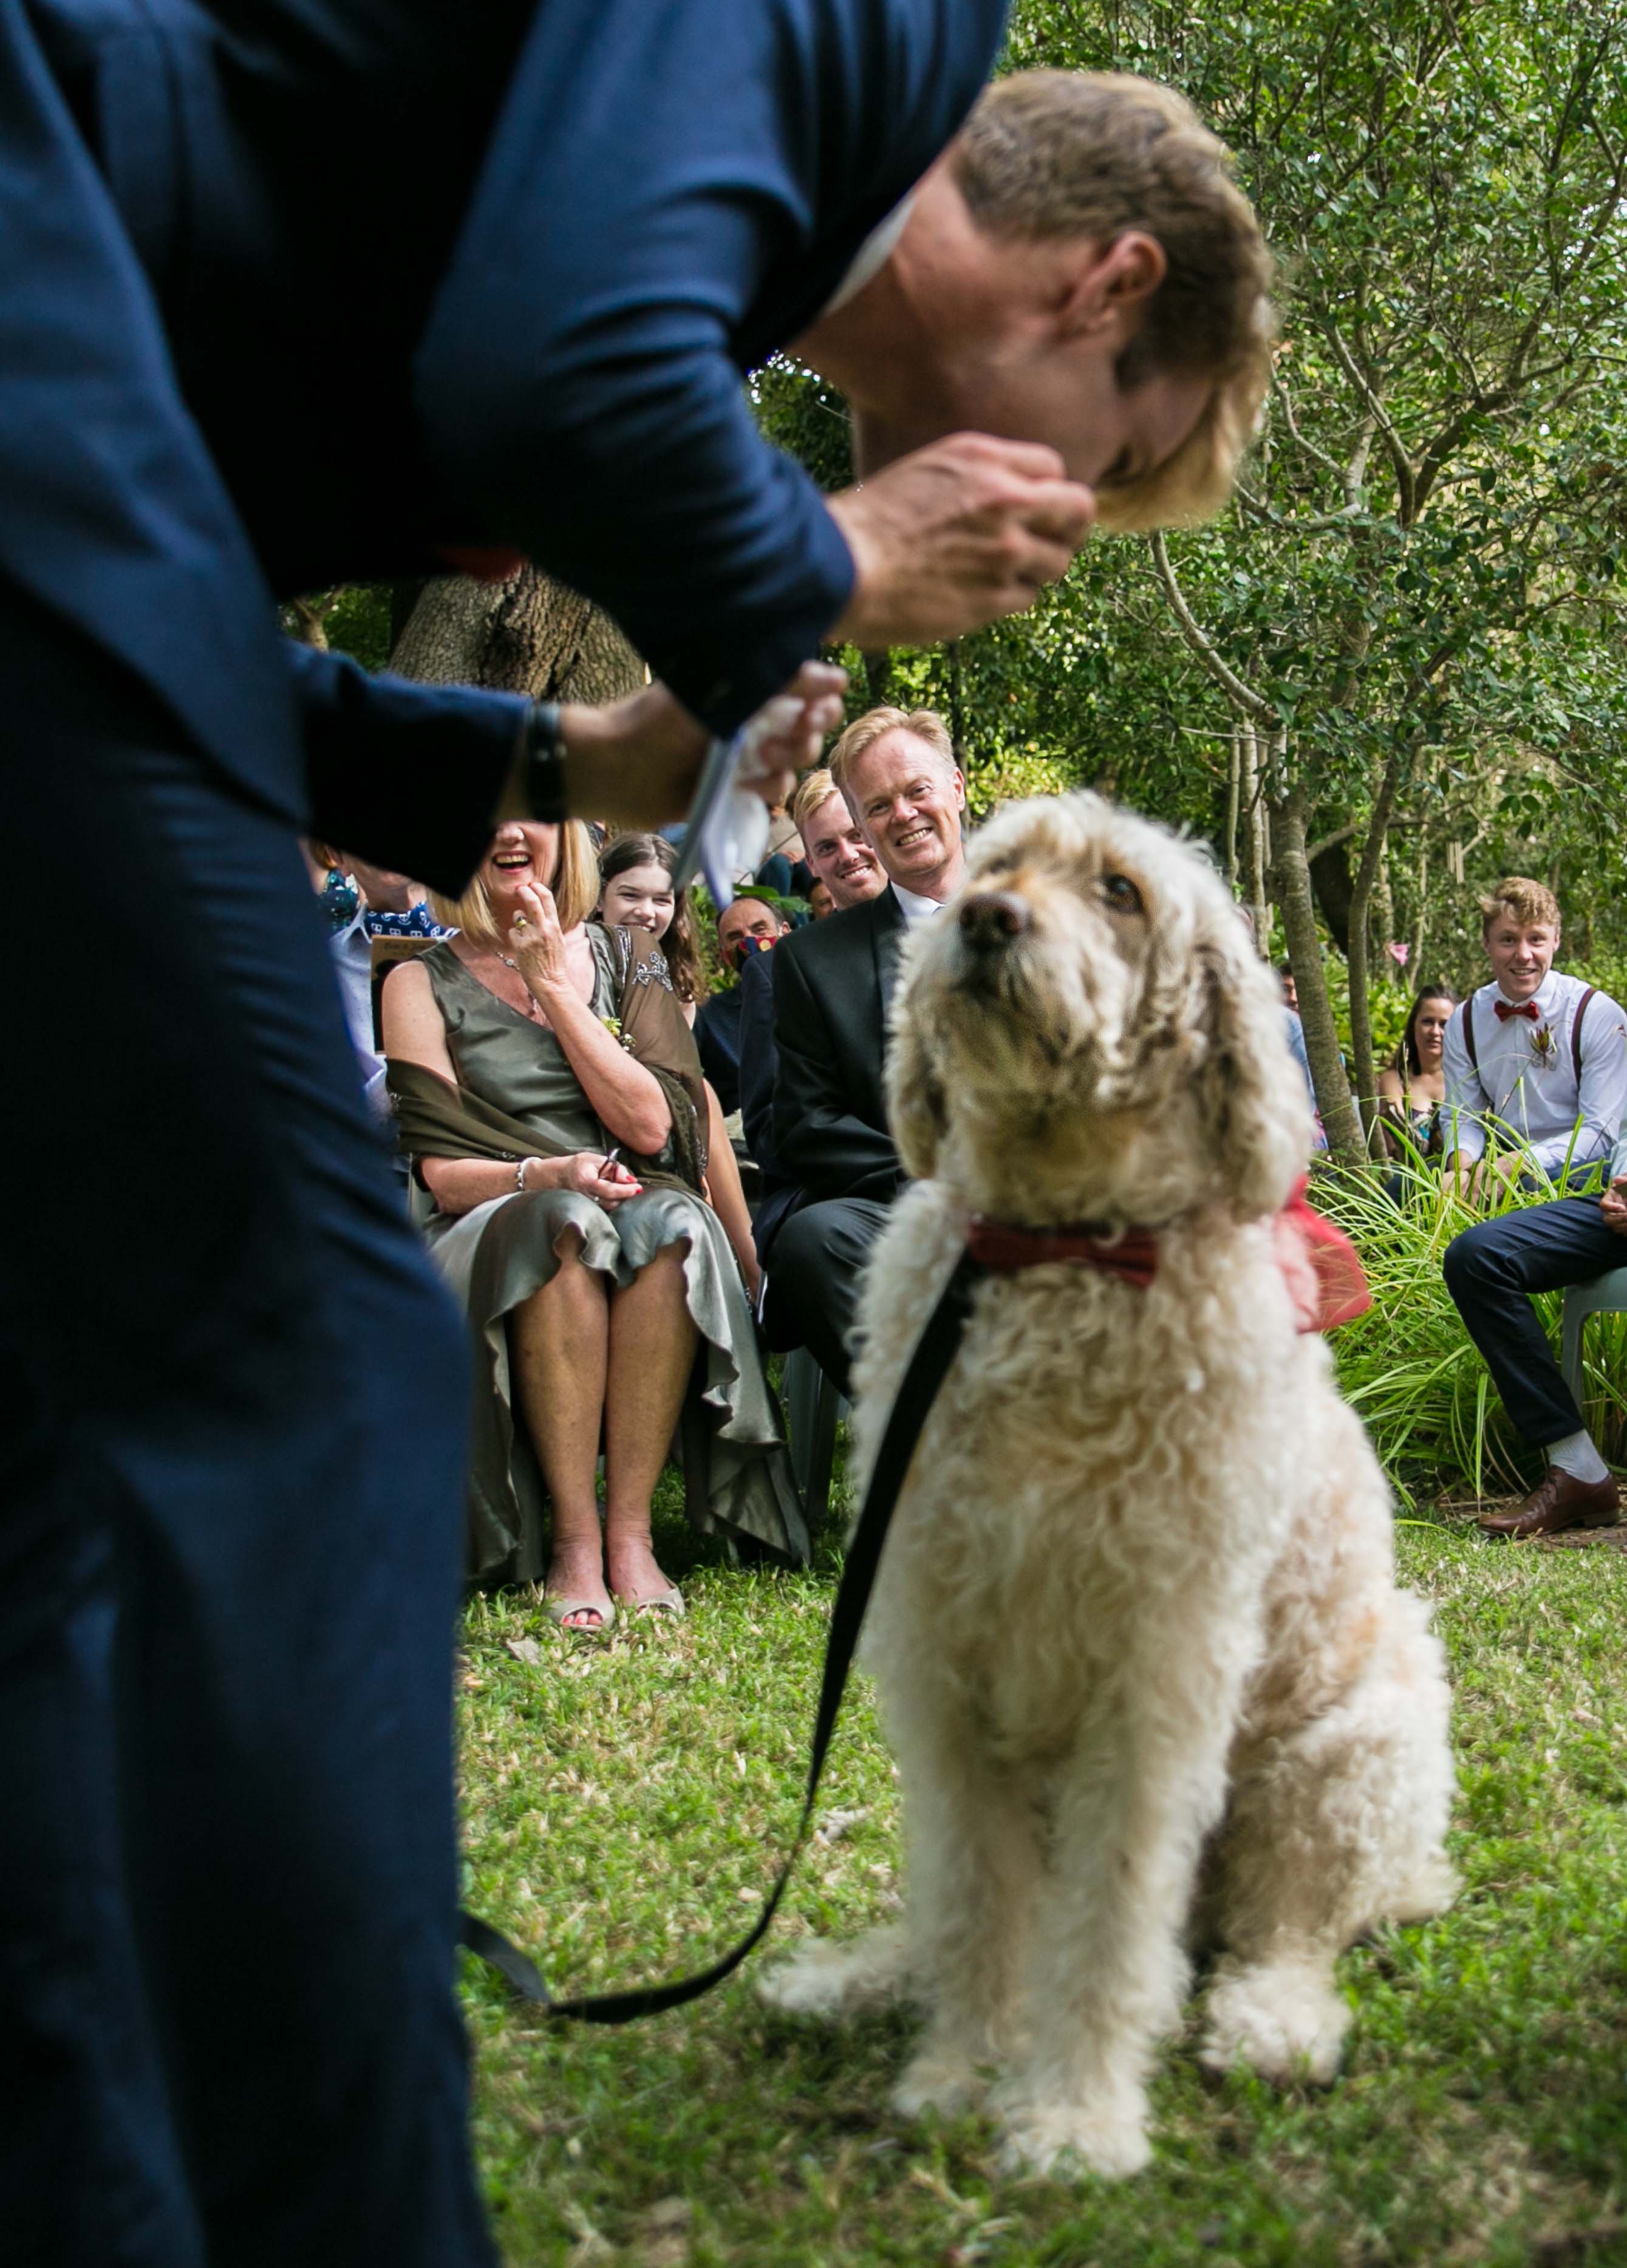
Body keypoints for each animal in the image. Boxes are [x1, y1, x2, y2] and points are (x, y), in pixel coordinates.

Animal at [762, 793, 1461, 2177]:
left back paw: (1271, 2021)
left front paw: (1073, 2117)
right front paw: (961, 2067)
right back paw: (855, 1977)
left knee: (1283, 1922)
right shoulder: (943, 1660)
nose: (981, 920)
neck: (1056, 1250)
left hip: (1352, 1749)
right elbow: (971, 1897)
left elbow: (1106, 1924)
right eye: (994, 865)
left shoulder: (1151, 1683)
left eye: (1121, 892)